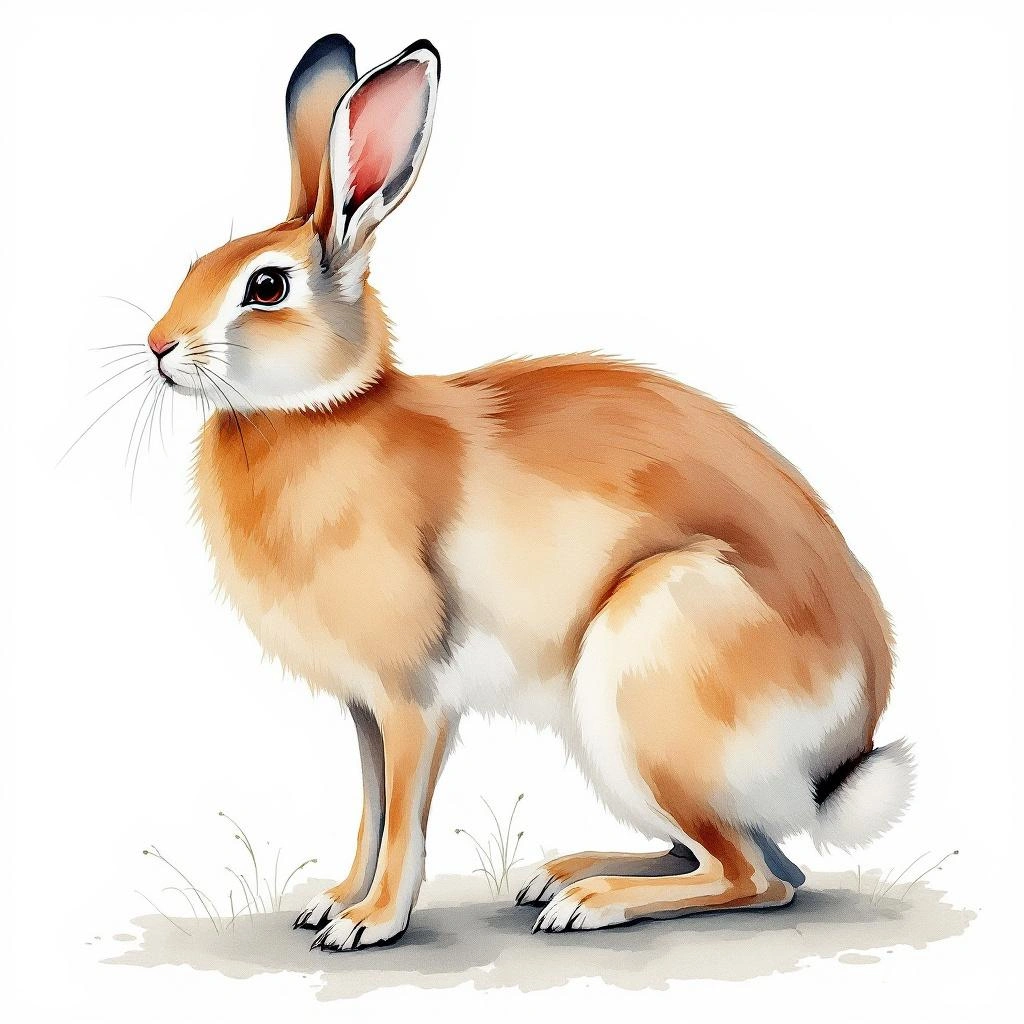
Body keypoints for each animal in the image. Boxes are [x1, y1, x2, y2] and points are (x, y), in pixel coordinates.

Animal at [142, 33, 913, 952]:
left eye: (265, 288)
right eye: (196, 264)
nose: (157, 346)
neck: (324, 409)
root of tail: (842, 751)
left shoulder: (413, 700)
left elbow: (402, 819)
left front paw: (371, 924)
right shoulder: (365, 710)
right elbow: (370, 809)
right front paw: (333, 903)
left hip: (646, 675)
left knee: (755, 877)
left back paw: (590, 903)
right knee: (744, 857)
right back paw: (560, 875)